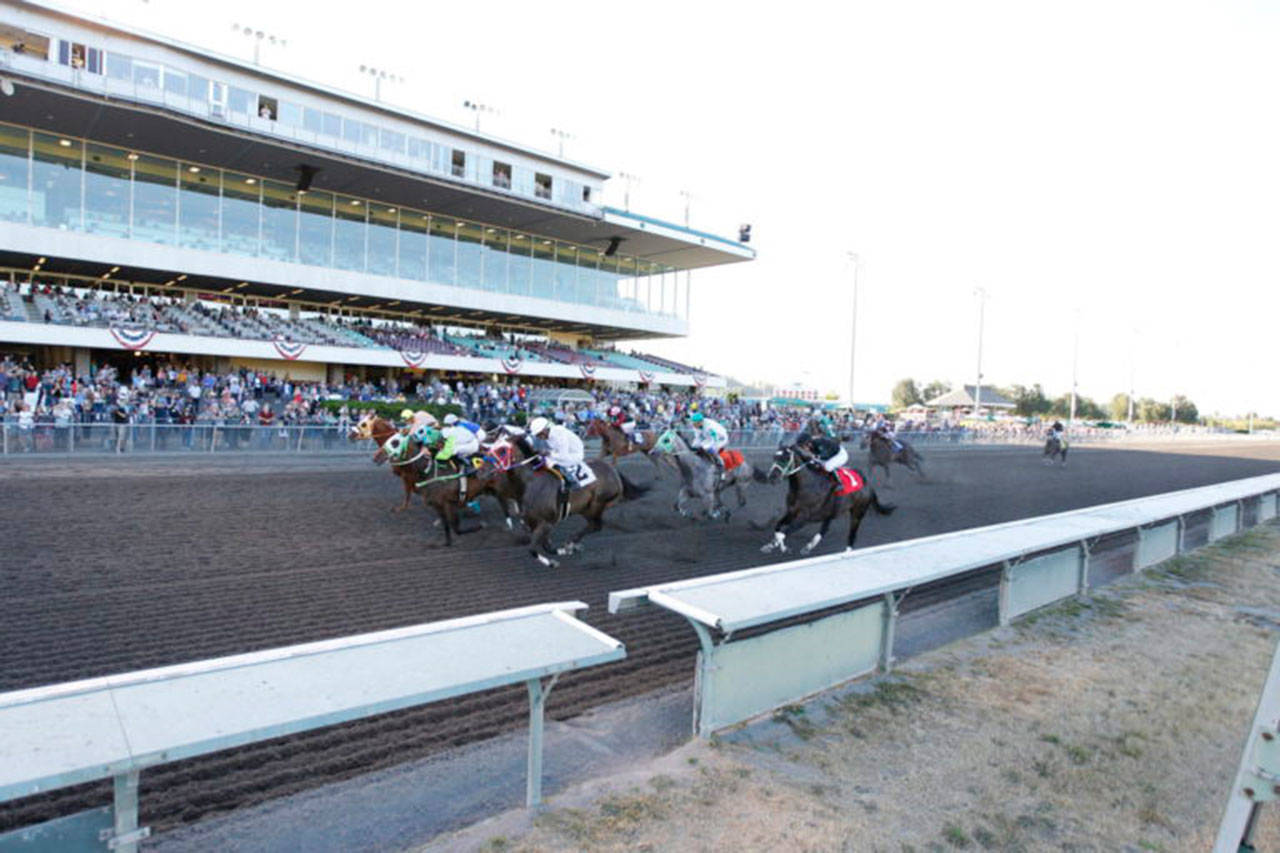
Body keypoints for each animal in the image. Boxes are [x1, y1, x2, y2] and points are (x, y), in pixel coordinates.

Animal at [752, 440, 896, 555]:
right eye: (774, 457)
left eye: (786, 458)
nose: (772, 477)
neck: (807, 485)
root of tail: (868, 485)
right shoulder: (791, 512)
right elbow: (778, 528)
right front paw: (776, 546)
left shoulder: (804, 518)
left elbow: (783, 533)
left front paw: (777, 547)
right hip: (832, 512)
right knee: (825, 528)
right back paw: (809, 547)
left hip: (857, 513)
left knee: (852, 534)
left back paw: (847, 552)